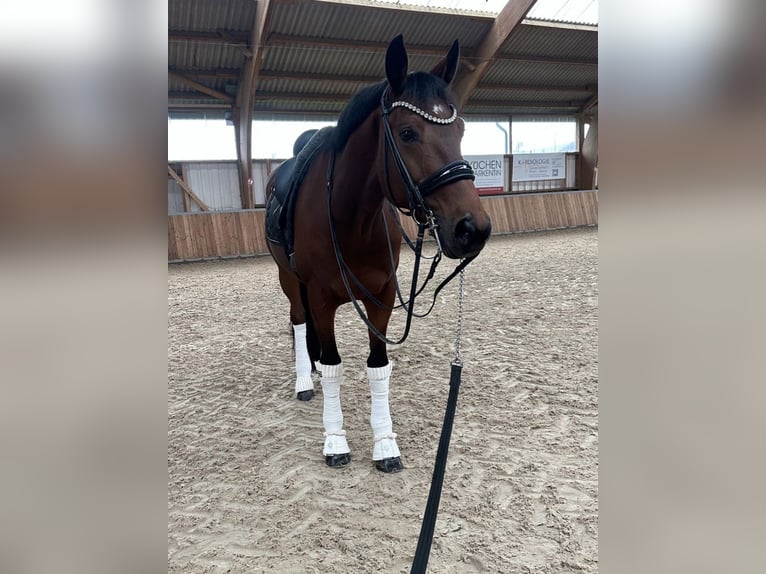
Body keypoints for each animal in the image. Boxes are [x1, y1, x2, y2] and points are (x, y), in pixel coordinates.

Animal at [264, 37, 492, 476]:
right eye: (407, 133)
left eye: (460, 130)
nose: (472, 229)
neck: (349, 217)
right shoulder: (321, 298)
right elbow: (334, 364)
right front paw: (335, 439)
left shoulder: (382, 296)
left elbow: (378, 366)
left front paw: (385, 444)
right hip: (290, 280)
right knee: (298, 322)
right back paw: (304, 380)